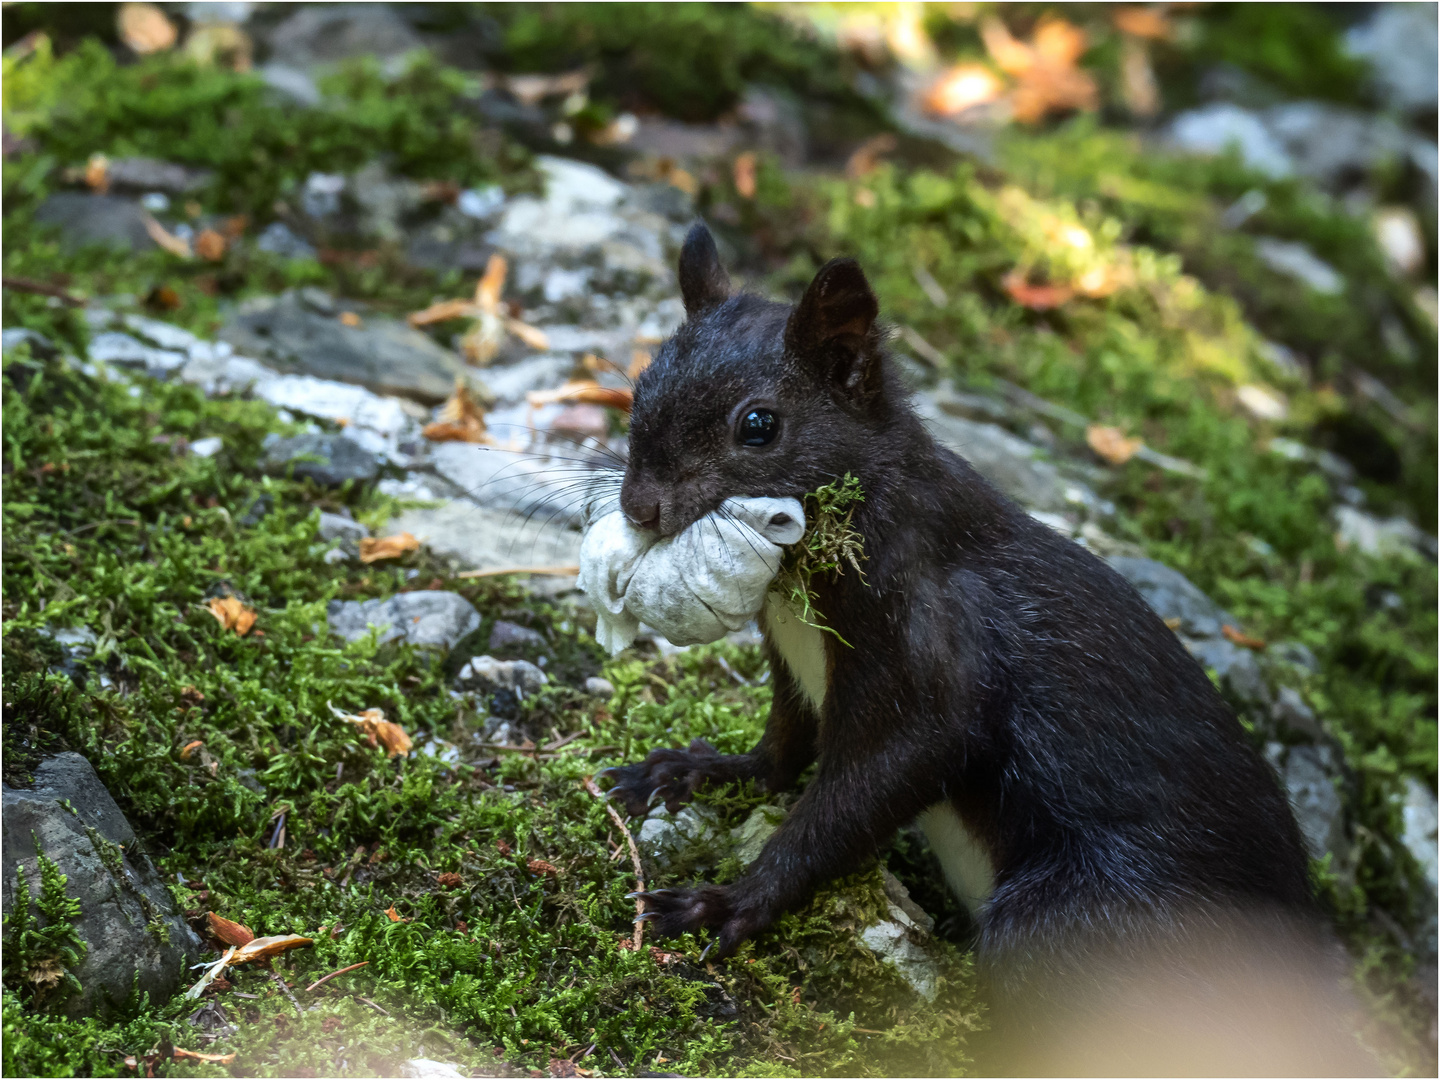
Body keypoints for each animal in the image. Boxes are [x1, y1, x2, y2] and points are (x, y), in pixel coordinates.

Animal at [601, 224, 1365, 1071]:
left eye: (759, 425)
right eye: (641, 384)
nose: (639, 505)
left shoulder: (932, 667)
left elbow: (852, 800)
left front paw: (730, 902)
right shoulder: (796, 665)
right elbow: (780, 752)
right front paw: (695, 768)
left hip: (1073, 924)